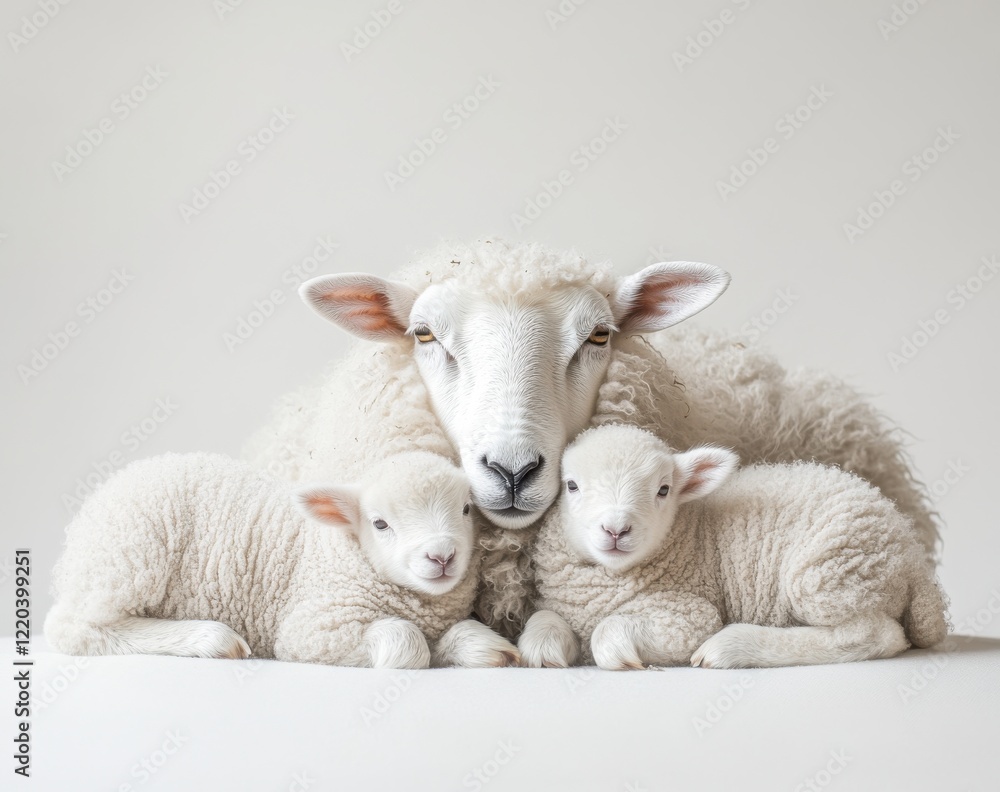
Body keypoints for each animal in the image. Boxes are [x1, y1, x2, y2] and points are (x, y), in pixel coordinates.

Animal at [44, 450, 488, 669]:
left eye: (466, 509)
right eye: (380, 524)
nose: (442, 555)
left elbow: (455, 636)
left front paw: (482, 647)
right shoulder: (313, 626)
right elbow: (407, 644)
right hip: (129, 558)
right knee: (76, 628)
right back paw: (211, 639)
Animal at [529, 424, 948, 669]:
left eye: (663, 490)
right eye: (571, 486)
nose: (616, 529)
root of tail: (912, 554)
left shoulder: (689, 614)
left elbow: (607, 632)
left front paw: (621, 655)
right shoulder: (564, 605)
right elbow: (543, 619)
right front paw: (544, 649)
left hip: (829, 572)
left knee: (876, 634)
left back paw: (731, 647)